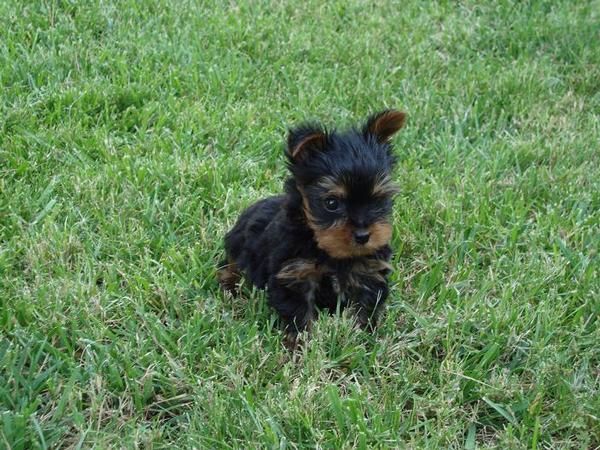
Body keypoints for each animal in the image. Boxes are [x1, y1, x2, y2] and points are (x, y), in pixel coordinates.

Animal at [218, 110, 406, 344]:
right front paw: (300, 346)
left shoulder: (369, 272)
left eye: (379, 199)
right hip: (238, 244)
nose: (363, 236)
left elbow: (364, 309)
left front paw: (361, 339)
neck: (329, 251)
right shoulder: (294, 274)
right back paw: (229, 286)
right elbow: (298, 314)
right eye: (331, 203)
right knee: (231, 265)